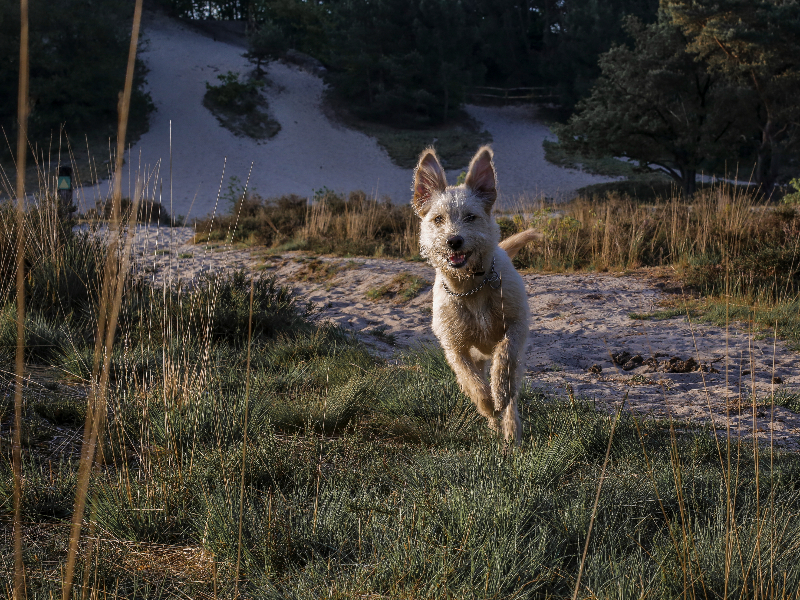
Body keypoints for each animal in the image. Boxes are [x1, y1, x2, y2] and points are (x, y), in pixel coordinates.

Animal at [412, 146, 536, 446]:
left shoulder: (516, 325)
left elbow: (504, 357)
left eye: (471, 217)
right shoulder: (454, 347)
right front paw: (487, 403)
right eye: (438, 219)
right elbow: (469, 379)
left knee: (512, 395)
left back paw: (511, 432)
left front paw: (499, 391)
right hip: (475, 354)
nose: (453, 241)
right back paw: (494, 424)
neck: (472, 287)